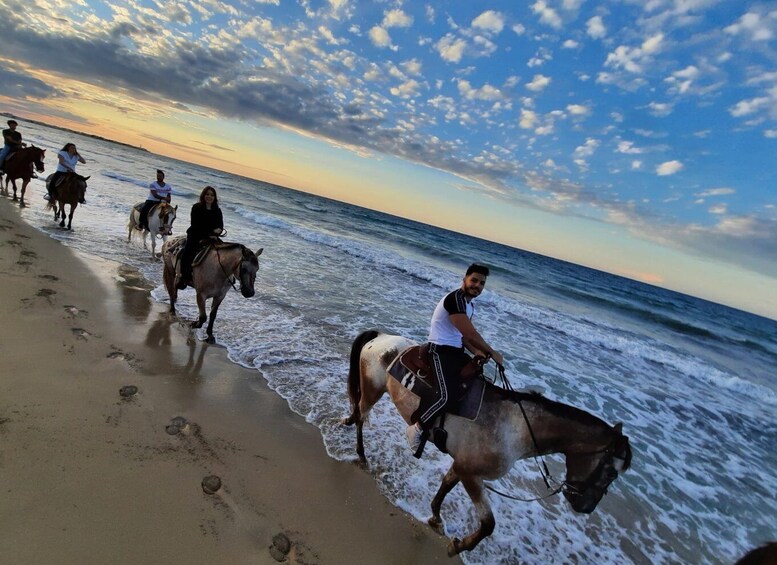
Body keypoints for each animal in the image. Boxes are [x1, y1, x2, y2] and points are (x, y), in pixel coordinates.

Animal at [344, 330, 632, 556]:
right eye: (611, 472)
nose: (586, 507)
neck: (514, 428)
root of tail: (381, 337)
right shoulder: (472, 475)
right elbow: (488, 524)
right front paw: (458, 546)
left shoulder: (461, 465)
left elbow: (445, 486)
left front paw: (436, 517)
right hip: (372, 391)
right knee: (361, 417)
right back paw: (361, 453)